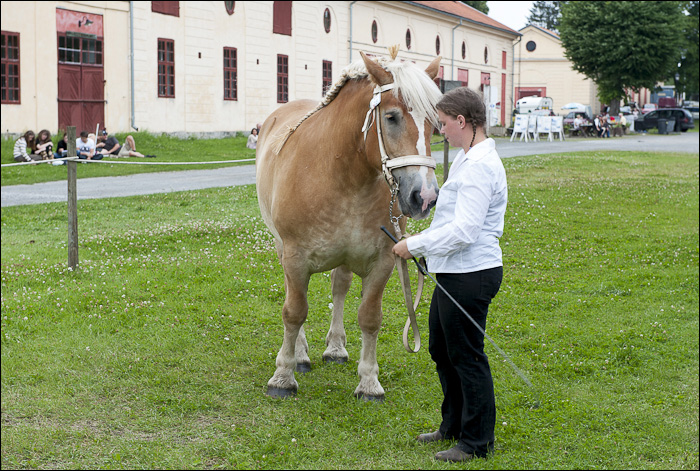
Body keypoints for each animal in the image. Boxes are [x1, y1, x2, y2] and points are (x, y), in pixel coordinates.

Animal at [258, 48, 442, 402]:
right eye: (391, 117)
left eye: (434, 123)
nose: (424, 196)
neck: (340, 173)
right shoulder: (295, 257)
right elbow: (294, 311)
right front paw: (283, 375)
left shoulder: (384, 260)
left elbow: (369, 317)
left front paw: (369, 381)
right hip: (280, 248)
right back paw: (301, 355)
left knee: (339, 287)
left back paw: (336, 348)